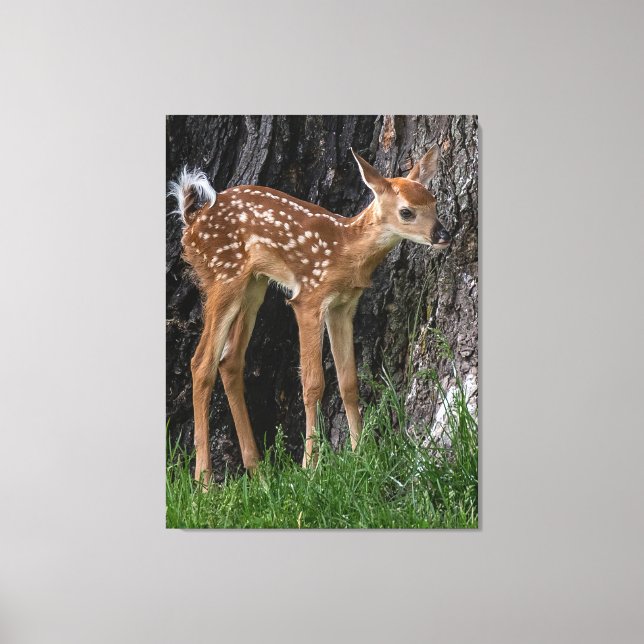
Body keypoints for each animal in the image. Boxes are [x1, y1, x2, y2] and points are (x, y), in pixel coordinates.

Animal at [168, 145, 451, 484]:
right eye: (407, 211)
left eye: (434, 202)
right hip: (224, 275)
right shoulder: (309, 299)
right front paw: (310, 467)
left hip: (254, 284)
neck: (347, 250)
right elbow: (313, 384)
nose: (444, 234)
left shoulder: (343, 306)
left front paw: (360, 454)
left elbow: (348, 382)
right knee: (202, 363)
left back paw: (258, 471)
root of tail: (191, 221)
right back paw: (205, 482)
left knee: (230, 361)